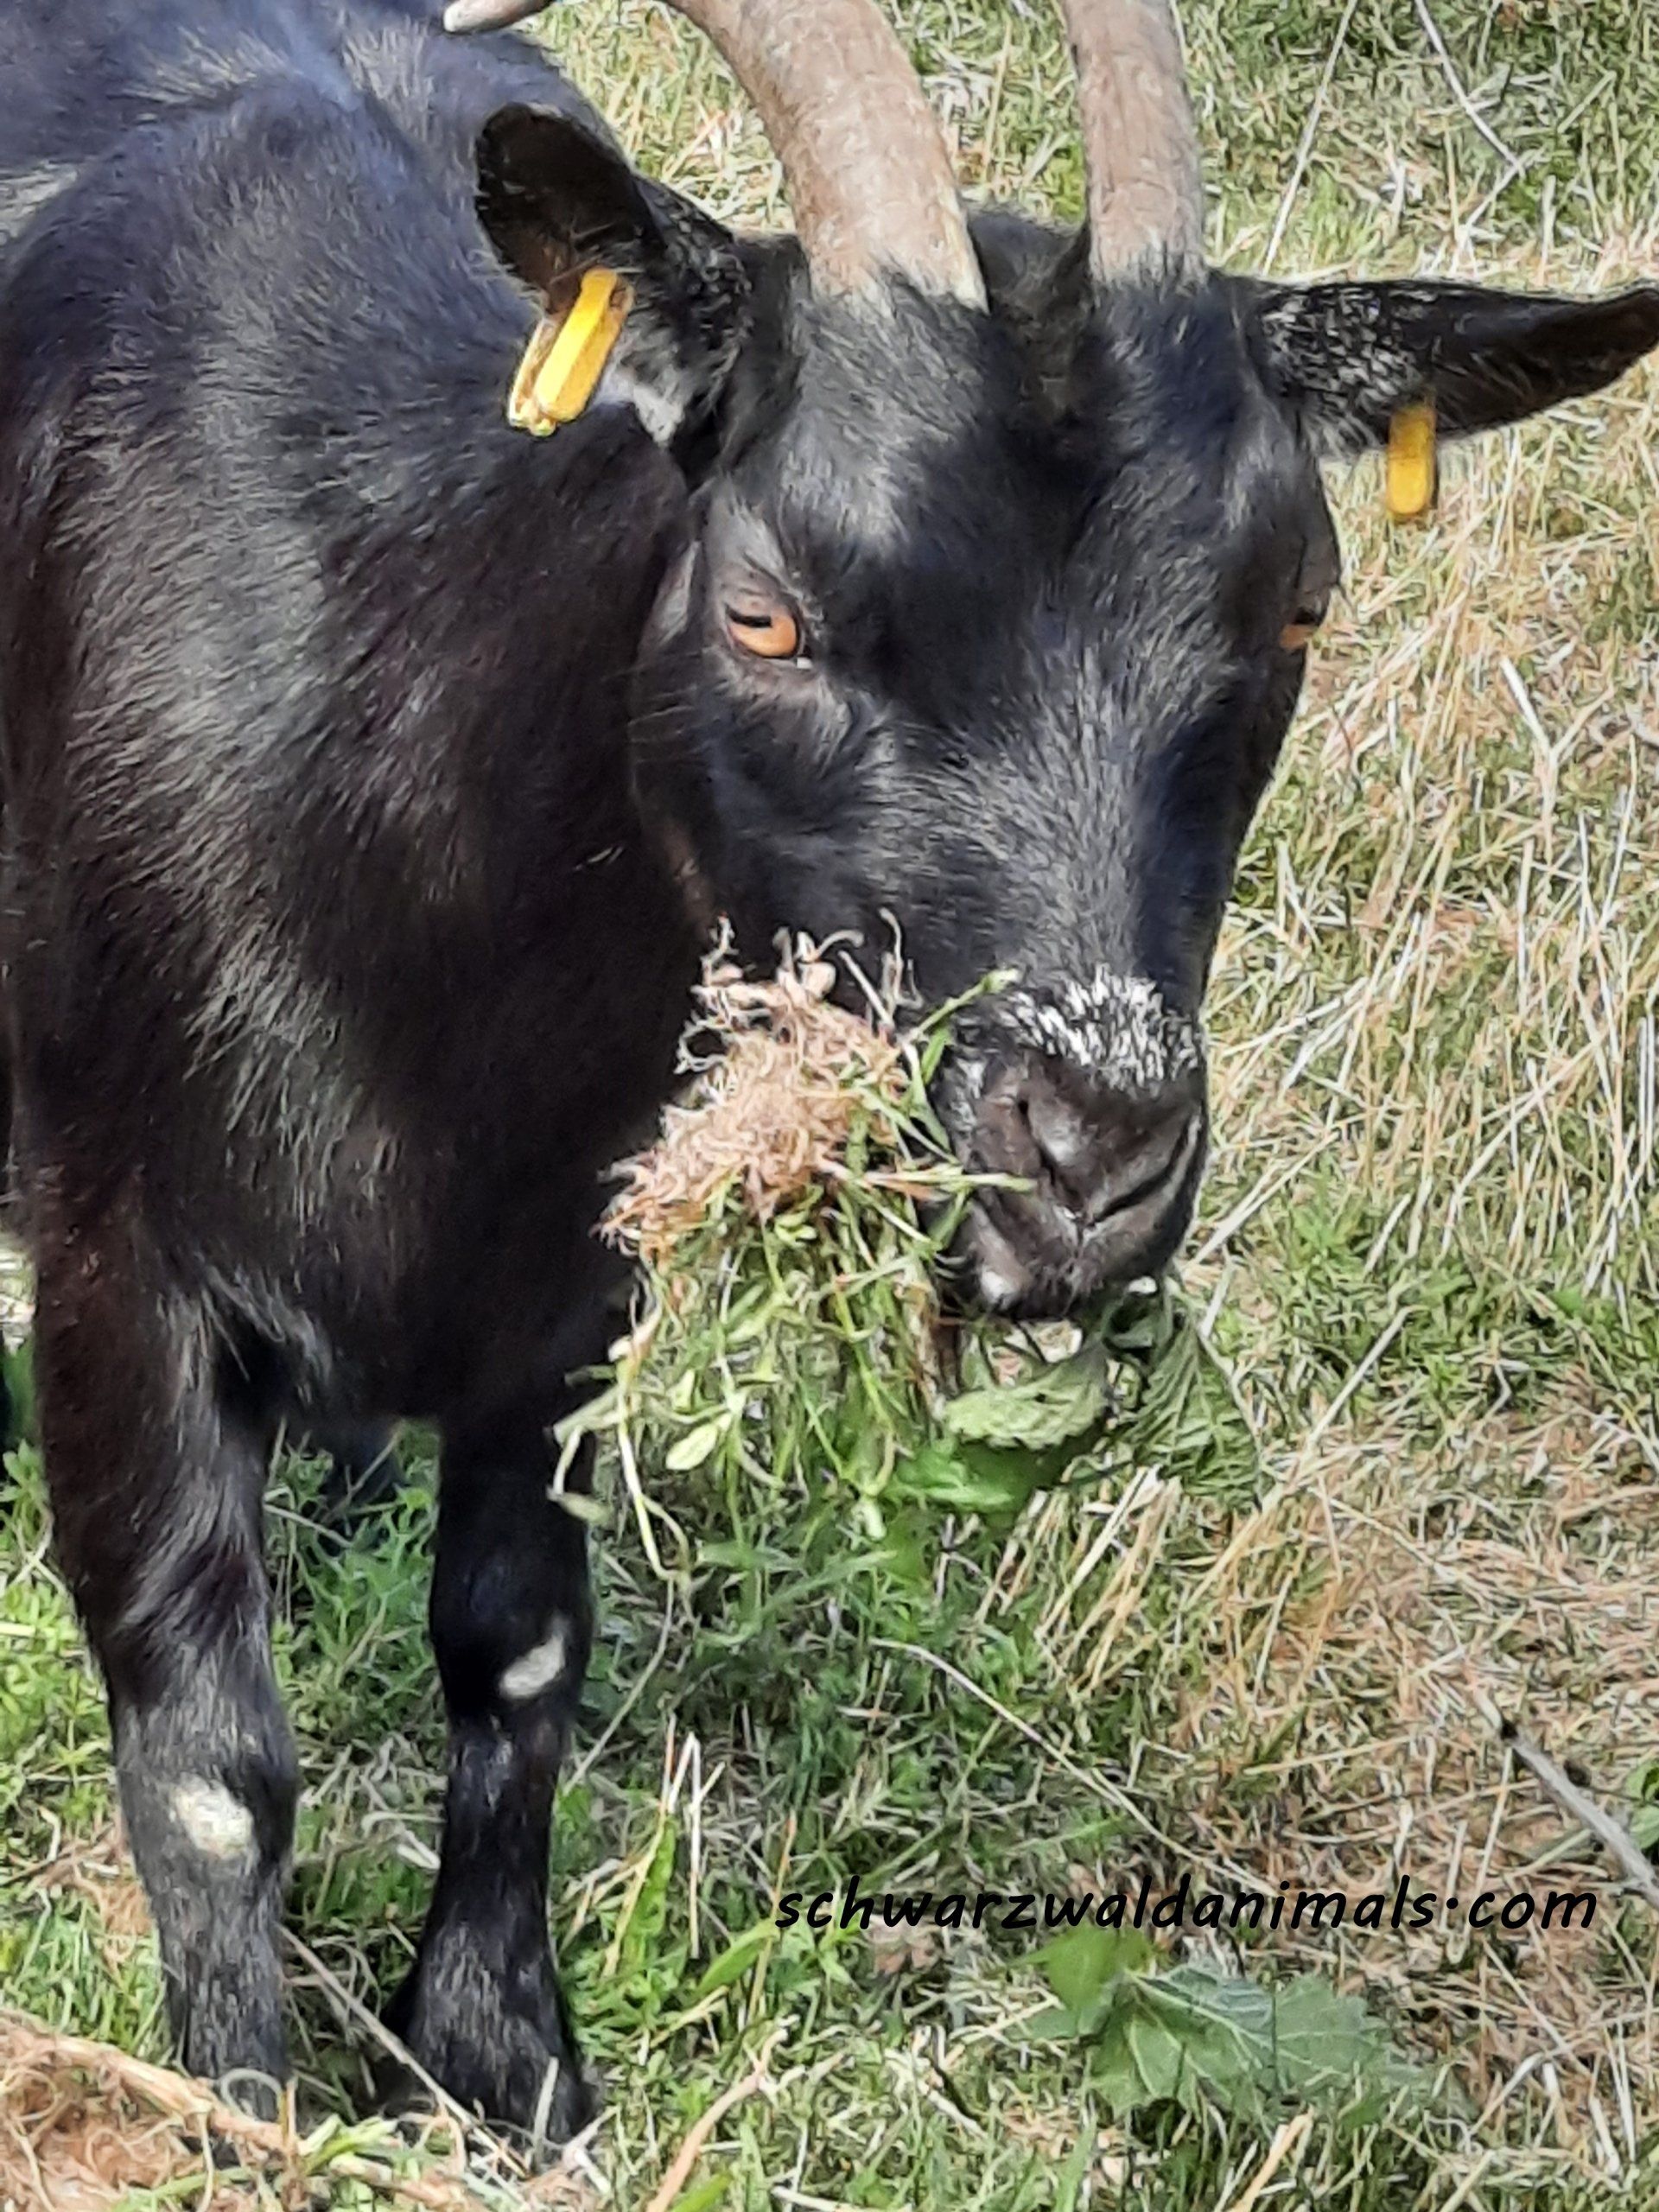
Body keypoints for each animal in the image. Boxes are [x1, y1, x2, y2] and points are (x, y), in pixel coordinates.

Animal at [1, 0, 1654, 2147]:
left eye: (1296, 605)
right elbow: (213, 1757)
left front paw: (505, 2061)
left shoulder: (571, 1283)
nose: (1089, 1154)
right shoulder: (122, 1257)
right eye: (767, 606)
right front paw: (244, 2115)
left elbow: (517, 1648)